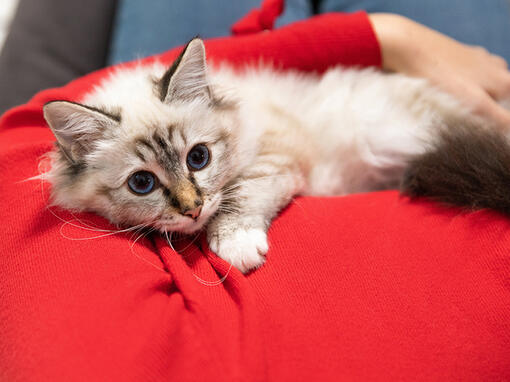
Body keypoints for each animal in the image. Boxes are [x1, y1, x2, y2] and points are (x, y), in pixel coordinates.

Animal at [41, 38, 510, 272]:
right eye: (143, 183)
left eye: (198, 158)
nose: (192, 210)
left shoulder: (276, 153)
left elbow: (243, 195)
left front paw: (236, 245)